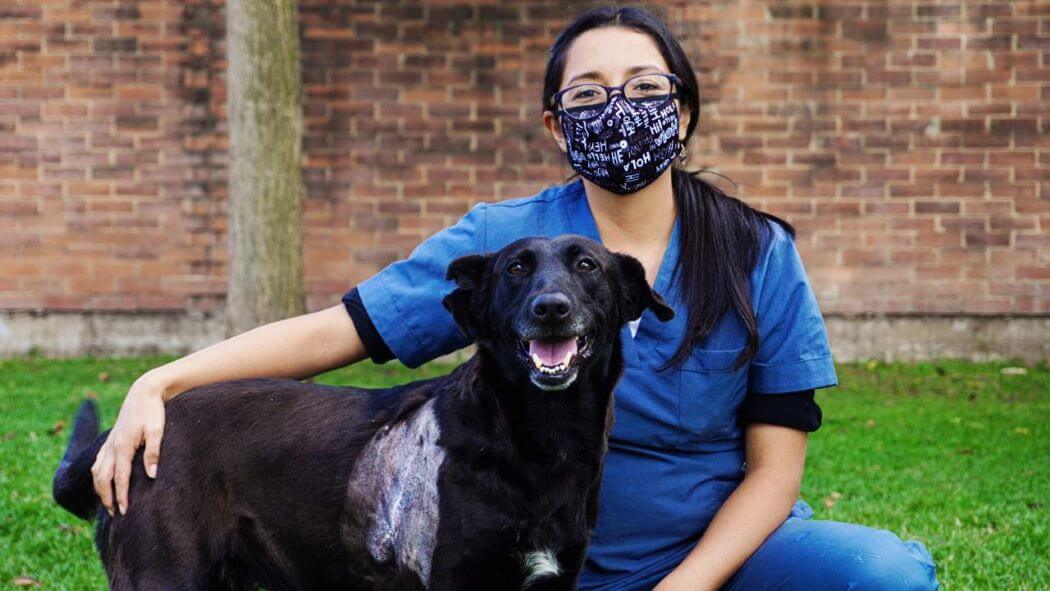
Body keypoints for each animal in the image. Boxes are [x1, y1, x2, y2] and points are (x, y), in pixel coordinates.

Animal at [53, 236, 672, 591]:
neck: (540, 440)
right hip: (167, 578)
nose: (551, 308)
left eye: (587, 266)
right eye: (516, 269)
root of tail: (126, 431)